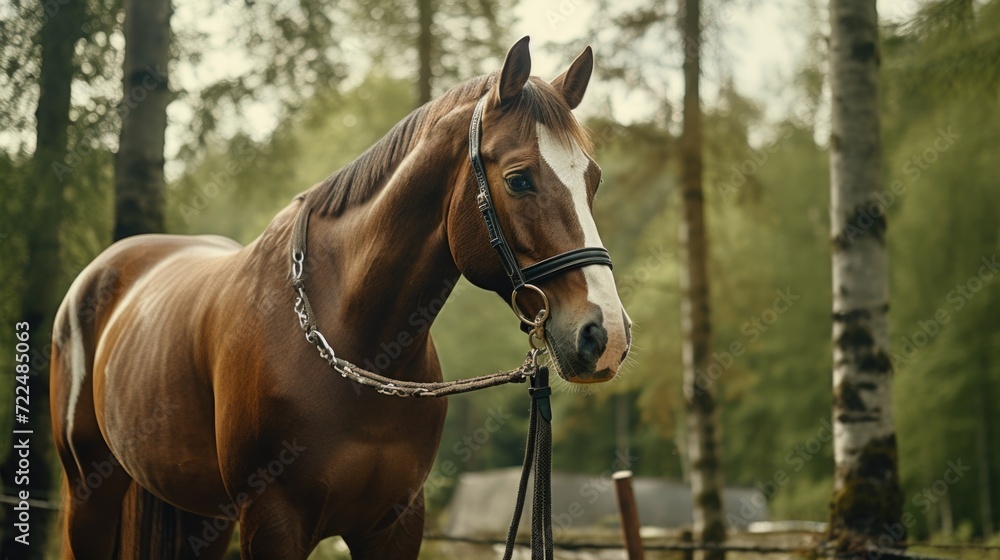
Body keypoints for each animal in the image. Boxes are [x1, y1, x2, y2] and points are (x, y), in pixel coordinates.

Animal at [49, 36, 632, 559]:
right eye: (518, 179)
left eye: (595, 180)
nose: (604, 335)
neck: (355, 343)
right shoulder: (273, 522)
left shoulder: (395, 525)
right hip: (90, 493)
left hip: (199, 515)